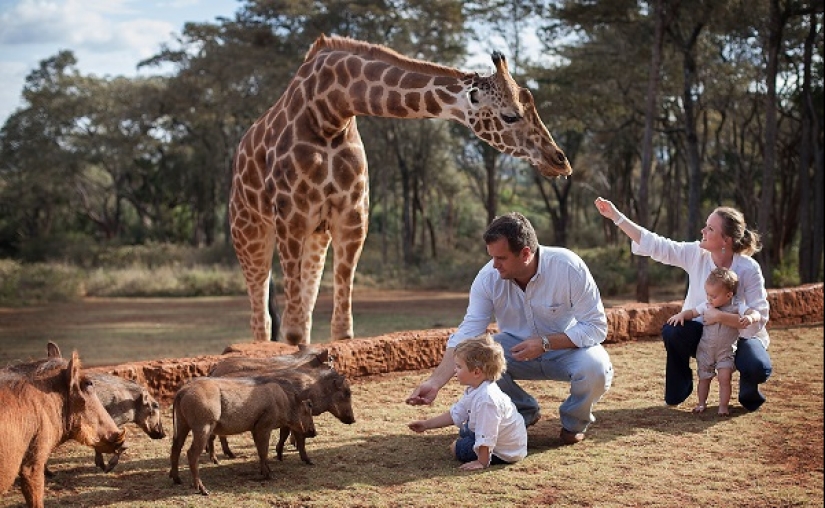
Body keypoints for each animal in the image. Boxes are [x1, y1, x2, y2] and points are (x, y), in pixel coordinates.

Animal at [230, 34, 573, 344]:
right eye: (510, 115)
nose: (560, 160)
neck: (330, 111)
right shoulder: (292, 215)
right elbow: (291, 331)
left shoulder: (352, 216)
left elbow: (341, 331)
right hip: (250, 231)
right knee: (262, 315)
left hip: (317, 234)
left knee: (305, 306)